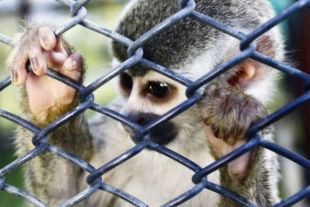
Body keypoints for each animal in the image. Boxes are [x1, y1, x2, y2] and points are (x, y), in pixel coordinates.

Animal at [6, 0, 284, 207]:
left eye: (158, 89)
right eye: (127, 82)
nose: (131, 117)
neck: (186, 144)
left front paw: (236, 147)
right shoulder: (116, 129)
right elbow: (63, 197)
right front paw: (51, 88)